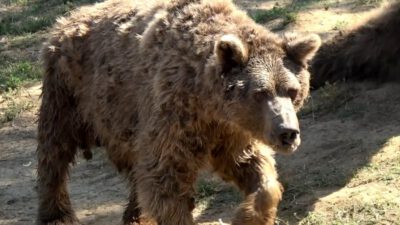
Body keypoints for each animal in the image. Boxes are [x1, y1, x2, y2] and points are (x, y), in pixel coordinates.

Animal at [36, 0, 318, 225]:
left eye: (292, 90)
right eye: (260, 93)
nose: (288, 132)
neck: (208, 102)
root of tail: (68, 18)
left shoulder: (231, 130)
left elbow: (254, 169)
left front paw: (247, 215)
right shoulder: (174, 113)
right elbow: (164, 177)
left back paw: (135, 216)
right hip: (68, 93)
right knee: (55, 152)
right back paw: (57, 215)